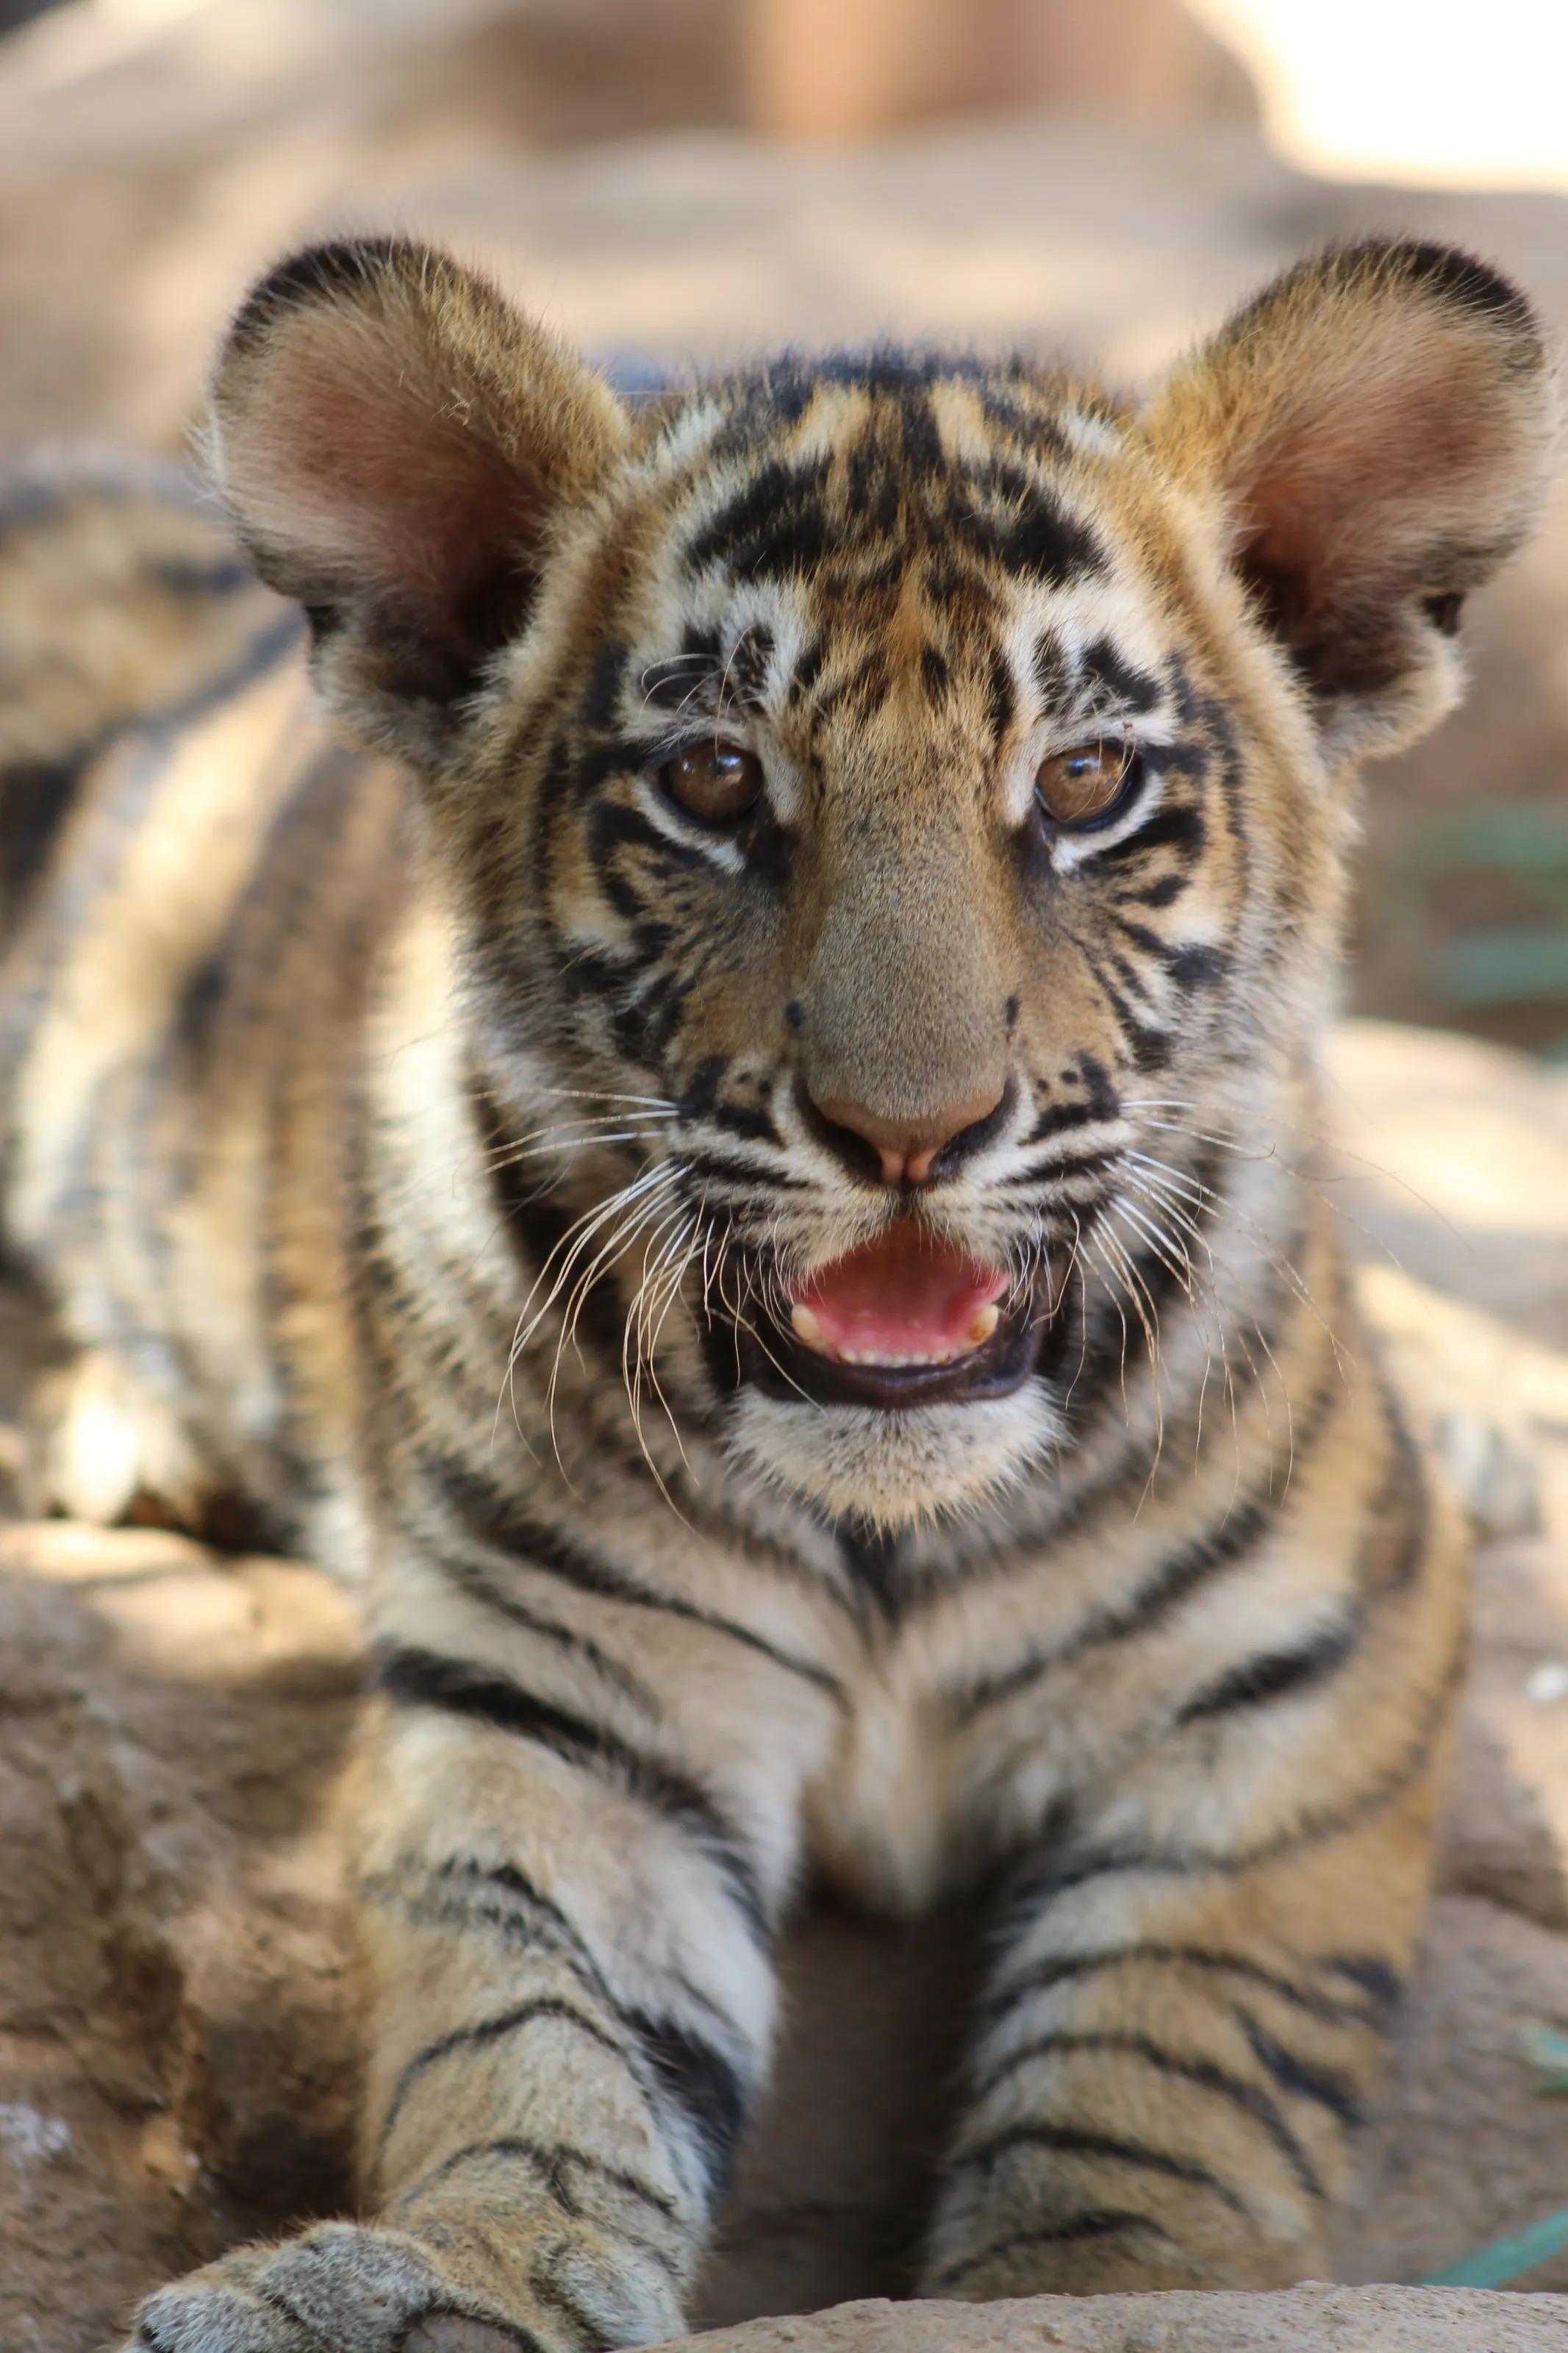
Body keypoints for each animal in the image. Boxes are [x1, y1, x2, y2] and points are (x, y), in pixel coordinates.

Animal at [0, 234, 1553, 2353]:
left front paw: (1095, 2276)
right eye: (714, 781)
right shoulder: (560, 1702)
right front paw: (435, 2278)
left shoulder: (1309, 1675)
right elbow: (534, 2034)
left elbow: (1166, 2064)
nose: (908, 1132)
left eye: (1082, 779)